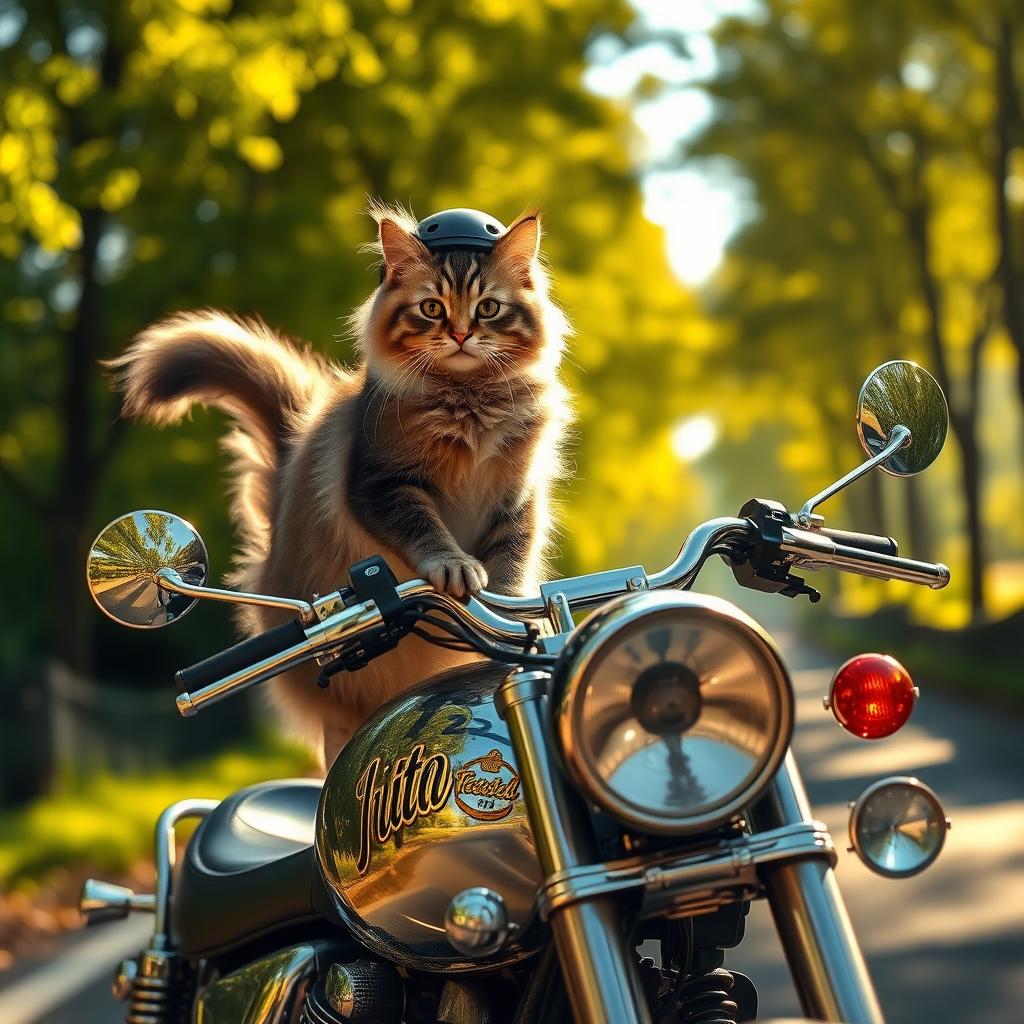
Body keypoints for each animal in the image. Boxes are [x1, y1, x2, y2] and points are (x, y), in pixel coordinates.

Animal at [115, 203, 577, 765]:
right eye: (432, 308)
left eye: (487, 308)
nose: (462, 334)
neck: (467, 402)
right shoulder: (379, 484)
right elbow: (426, 531)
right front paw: (455, 568)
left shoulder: (516, 498)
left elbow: (511, 562)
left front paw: (515, 607)